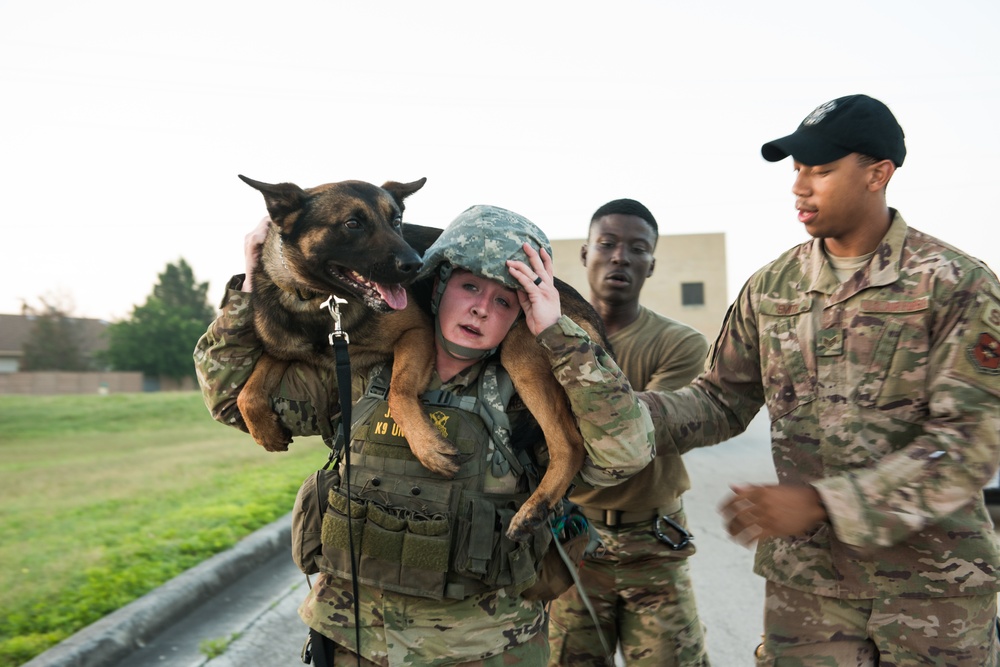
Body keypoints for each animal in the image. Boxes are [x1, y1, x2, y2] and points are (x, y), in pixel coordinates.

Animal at [238, 175, 604, 540]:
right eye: (353, 223)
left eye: (396, 220)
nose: (415, 265)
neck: (323, 306)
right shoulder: (280, 346)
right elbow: (247, 392)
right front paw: (265, 432)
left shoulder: (417, 331)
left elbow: (399, 391)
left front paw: (428, 447)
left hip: (519, 348)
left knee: (570, 443)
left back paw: (535, 507)